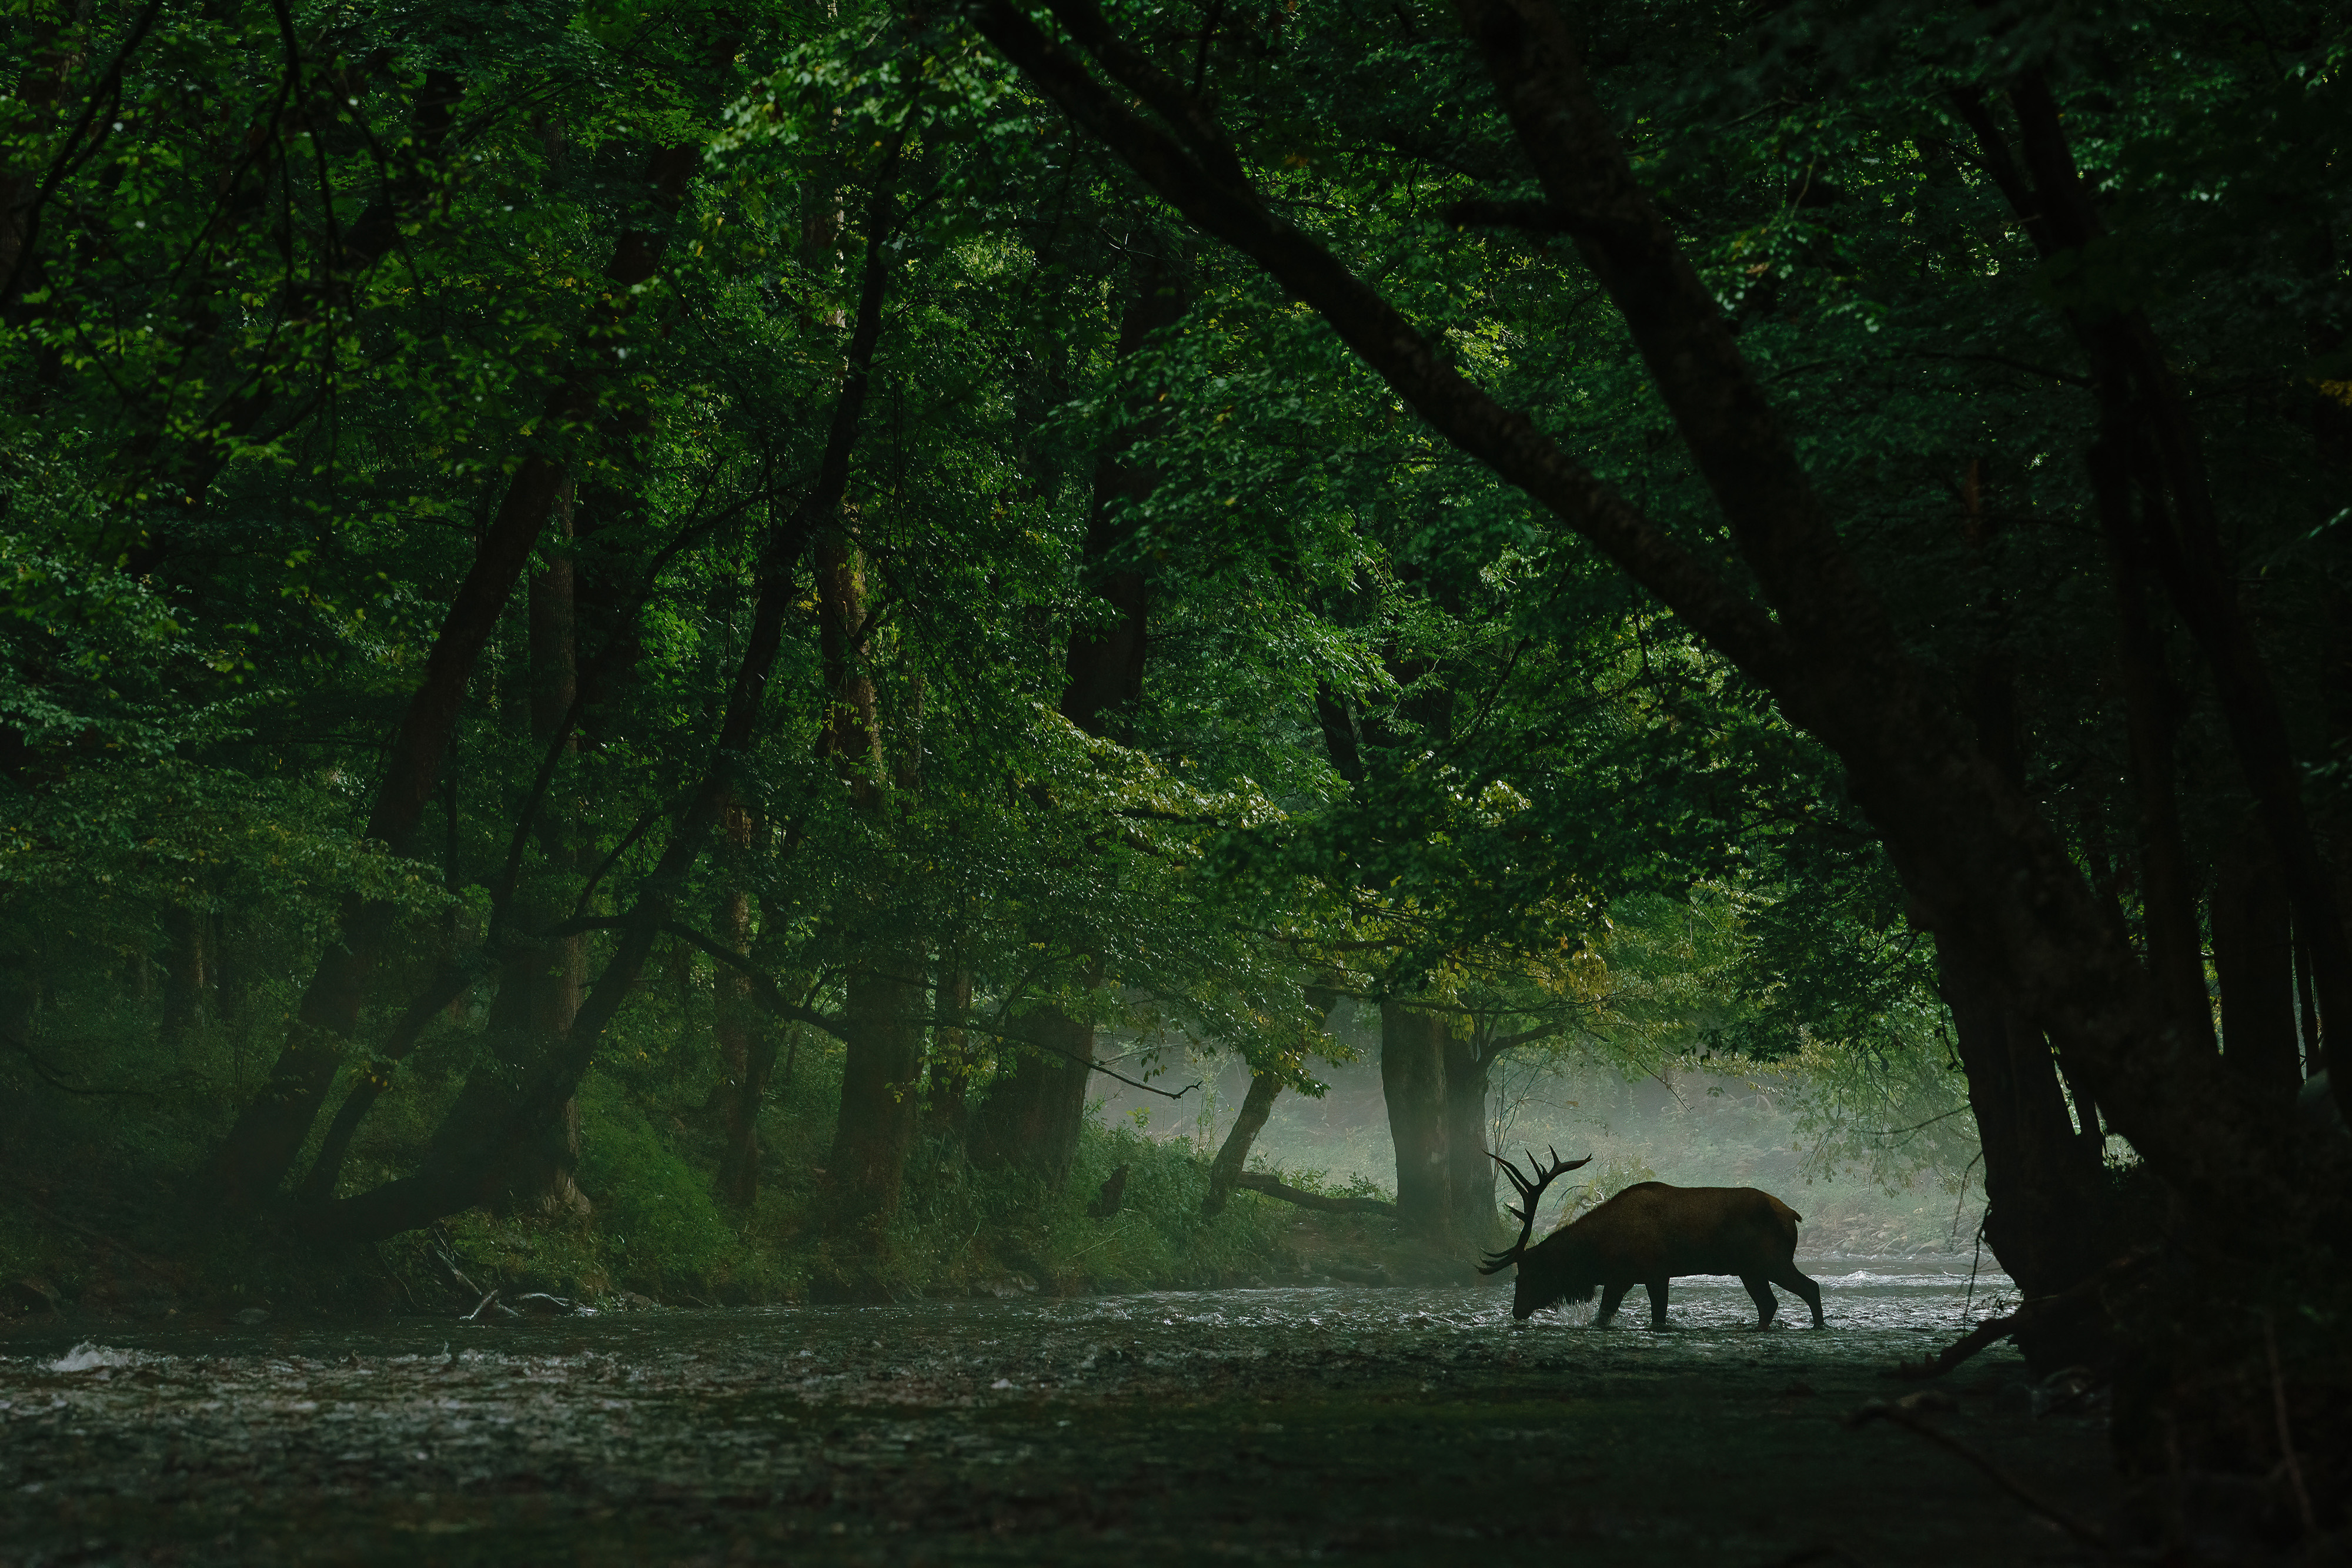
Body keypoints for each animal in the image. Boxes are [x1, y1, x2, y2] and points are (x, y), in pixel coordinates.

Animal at [1477, 1149, 1825, 1330]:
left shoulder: (1655, 1271)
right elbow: (1604, 1317)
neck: (1598, 1251)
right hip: (1750, 1270)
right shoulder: (1621, 1278)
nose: (1516, 1311)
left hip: (1772, 1260)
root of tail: (1793, 1214)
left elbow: (1657, 1316)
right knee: (1769, 1304)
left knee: (1810, 1287)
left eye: (1527, 1274)